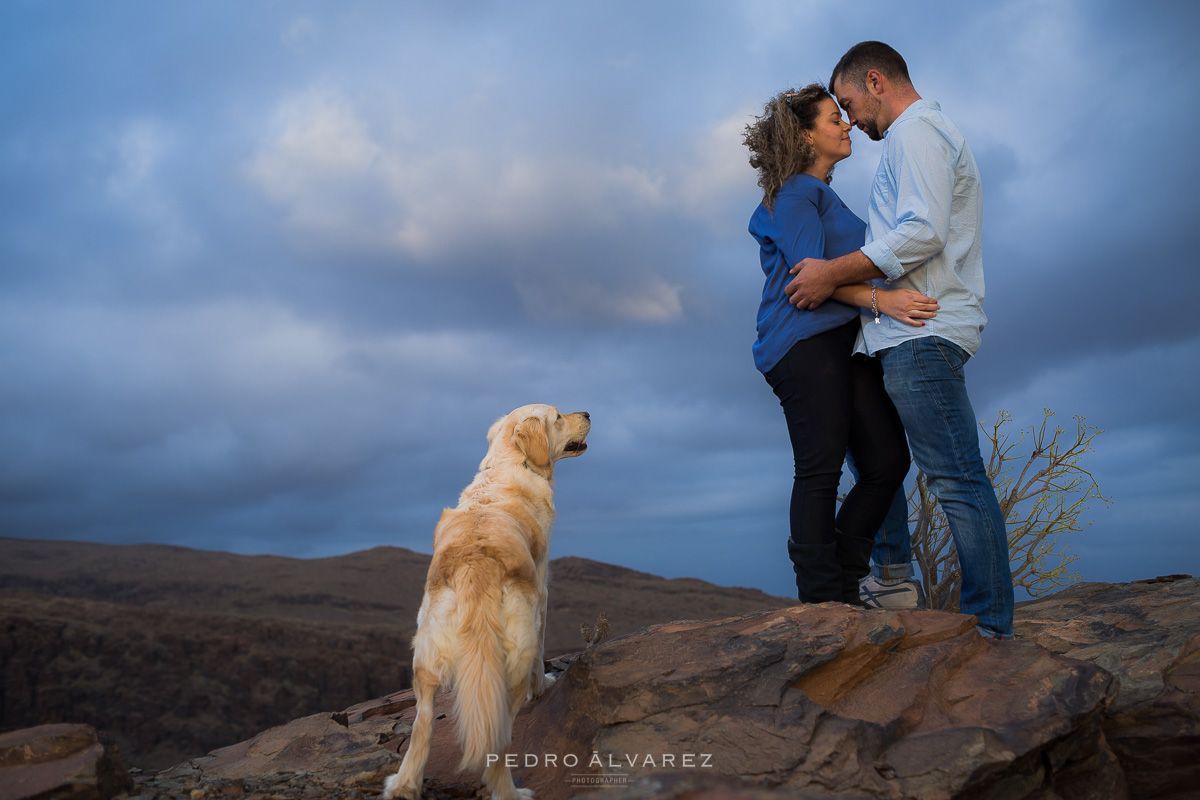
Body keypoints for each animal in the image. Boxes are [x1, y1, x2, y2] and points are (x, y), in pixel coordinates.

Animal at [384, 407, 590, 800]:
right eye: (558, 416)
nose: (587, 413)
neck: (513, 463)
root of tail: (474, 565)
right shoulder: (542, 589)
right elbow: (542, 654)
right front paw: (544, 685)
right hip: (514, 656)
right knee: (499, 739)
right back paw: (510, 791)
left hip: (426, 658)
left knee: (422, 726)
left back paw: (403, 785)